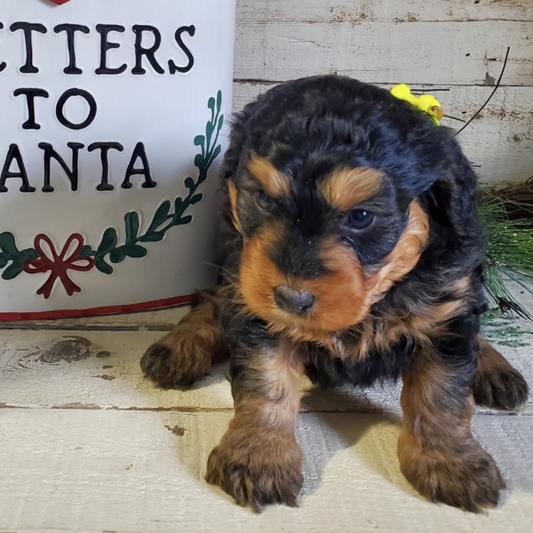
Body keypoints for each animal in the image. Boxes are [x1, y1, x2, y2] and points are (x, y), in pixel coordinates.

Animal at [141, 75, 528, 512]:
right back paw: (178, 347)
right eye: (264, 199)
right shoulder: (256, 307)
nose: (291, 299)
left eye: (361, 217)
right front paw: (258, 456)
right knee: (211, 298)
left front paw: (450, 461)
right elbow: (266, 382)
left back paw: (493, 367)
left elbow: (442, 392)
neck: (377, 298)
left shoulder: (449, 308)